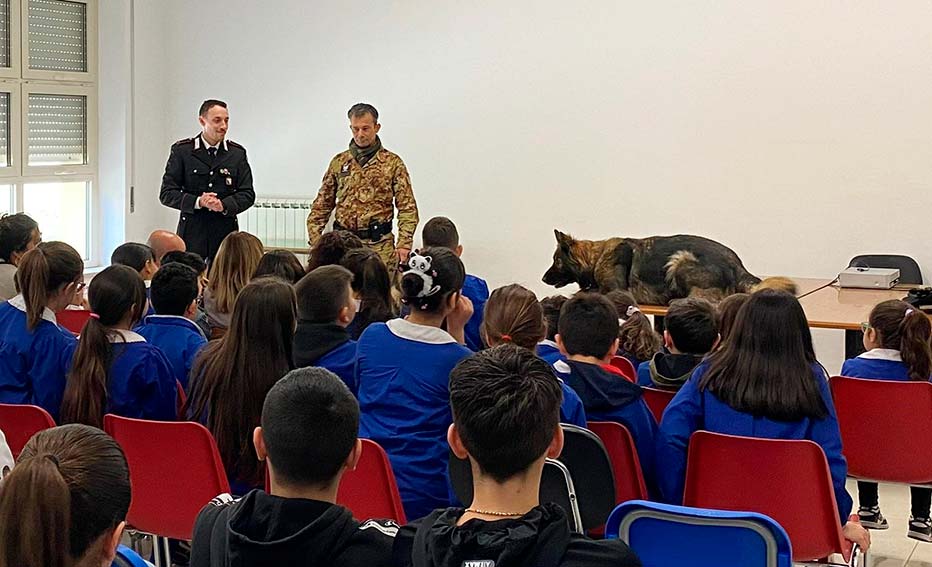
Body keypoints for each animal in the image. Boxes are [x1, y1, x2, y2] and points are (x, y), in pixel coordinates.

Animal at [544, 231, 760, 306]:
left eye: (557, 261)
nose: (543, 279)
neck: (596, 258)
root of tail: (736, 264)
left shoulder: (616, 290)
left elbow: (584, 292)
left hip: (679, 259)